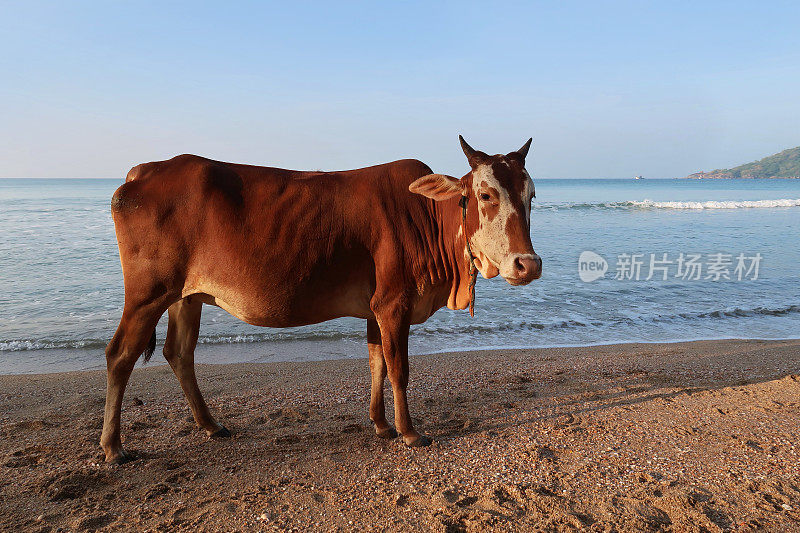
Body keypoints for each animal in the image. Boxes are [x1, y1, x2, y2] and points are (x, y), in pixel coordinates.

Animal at [100, 136, 536, 462]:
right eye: (485, 194)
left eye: (531, 195)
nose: (527, 264)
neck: (427, 216)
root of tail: (144, 170)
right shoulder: (393, 304)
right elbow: (399, 369)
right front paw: (410, 432)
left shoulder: (375, 308)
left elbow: (377, 362)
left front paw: (381, 425)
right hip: (147, 293)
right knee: (120, 354)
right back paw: (114, 446)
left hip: (185, 296)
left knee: (179, 353)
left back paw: (210, 424)